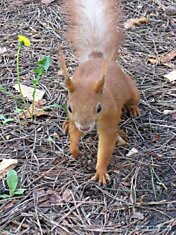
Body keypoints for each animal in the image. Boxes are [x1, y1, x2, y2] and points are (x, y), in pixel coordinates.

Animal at [59, 0, 140, 185]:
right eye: (69, 108)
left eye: (99, 108)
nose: (85, 127)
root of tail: (96, 58)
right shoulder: (76, 119)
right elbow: (74, 134)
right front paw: (74, 150)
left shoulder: (110, 116)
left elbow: (106, 144)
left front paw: (101, 171)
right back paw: (66, 124)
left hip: (132, 90)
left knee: (133, 99)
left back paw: (133, 109)